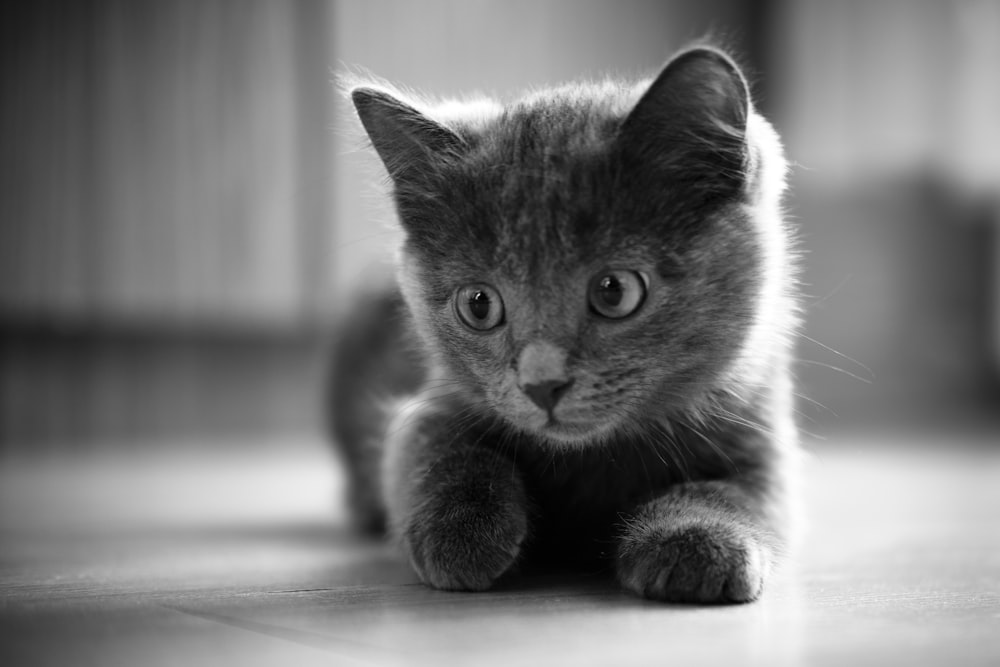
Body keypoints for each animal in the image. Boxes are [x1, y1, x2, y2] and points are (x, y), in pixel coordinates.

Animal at [332, 44, 800, 604]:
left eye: (615, 291)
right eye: (478, 304)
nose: (542, 384)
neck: (592, 462)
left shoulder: (762, 433)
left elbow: (740, 489)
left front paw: (696, 538)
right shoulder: (430, 404)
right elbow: (433, 449)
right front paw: (461, 529)